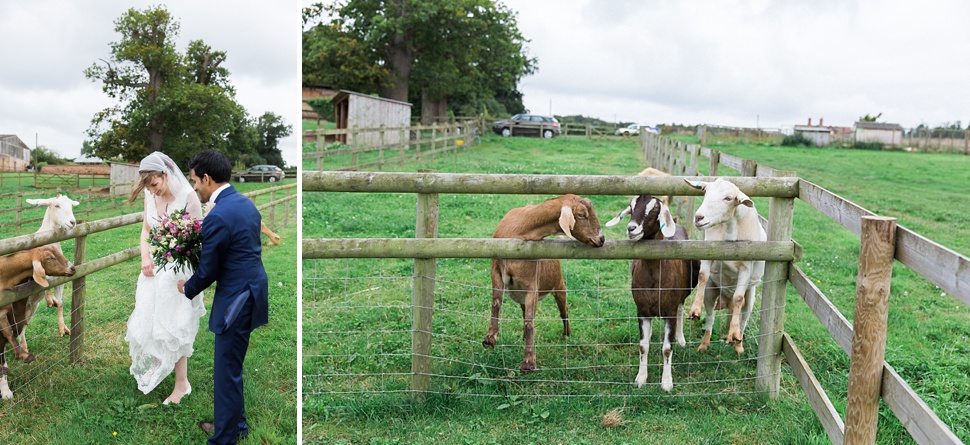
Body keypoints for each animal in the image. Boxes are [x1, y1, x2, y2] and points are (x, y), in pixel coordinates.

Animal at [22, 194, 78, 344]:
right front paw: (49, 299)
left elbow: (60, 303)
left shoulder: (61, 280)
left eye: (71, 205)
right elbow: (44, 282)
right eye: (56, 205)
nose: (72, 222)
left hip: (30, 307)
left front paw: (63, 328)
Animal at [484, 194, 604, 372]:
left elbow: (530, 322)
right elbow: (496, 303)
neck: (518, 232)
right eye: (582, 215)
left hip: (559, 285)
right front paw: (490, 338)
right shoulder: (496, 271)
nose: (602, 239)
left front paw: (528, 362)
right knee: (525, 313)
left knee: (563, 311)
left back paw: (566, 335)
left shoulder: (531, 283)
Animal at [680, 178, 764, 354]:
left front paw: (733, 335)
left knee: (743, 319)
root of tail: (726, 301)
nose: (699, 217)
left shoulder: (746, 267)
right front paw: (694, 310)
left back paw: (738, 344)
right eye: (705, 192)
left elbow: (738, 298)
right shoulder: (708, 253)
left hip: (750, 296)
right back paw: (704, 345)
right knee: (710, 318)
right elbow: (702, 276)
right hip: (711, 292)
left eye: (728, 198)